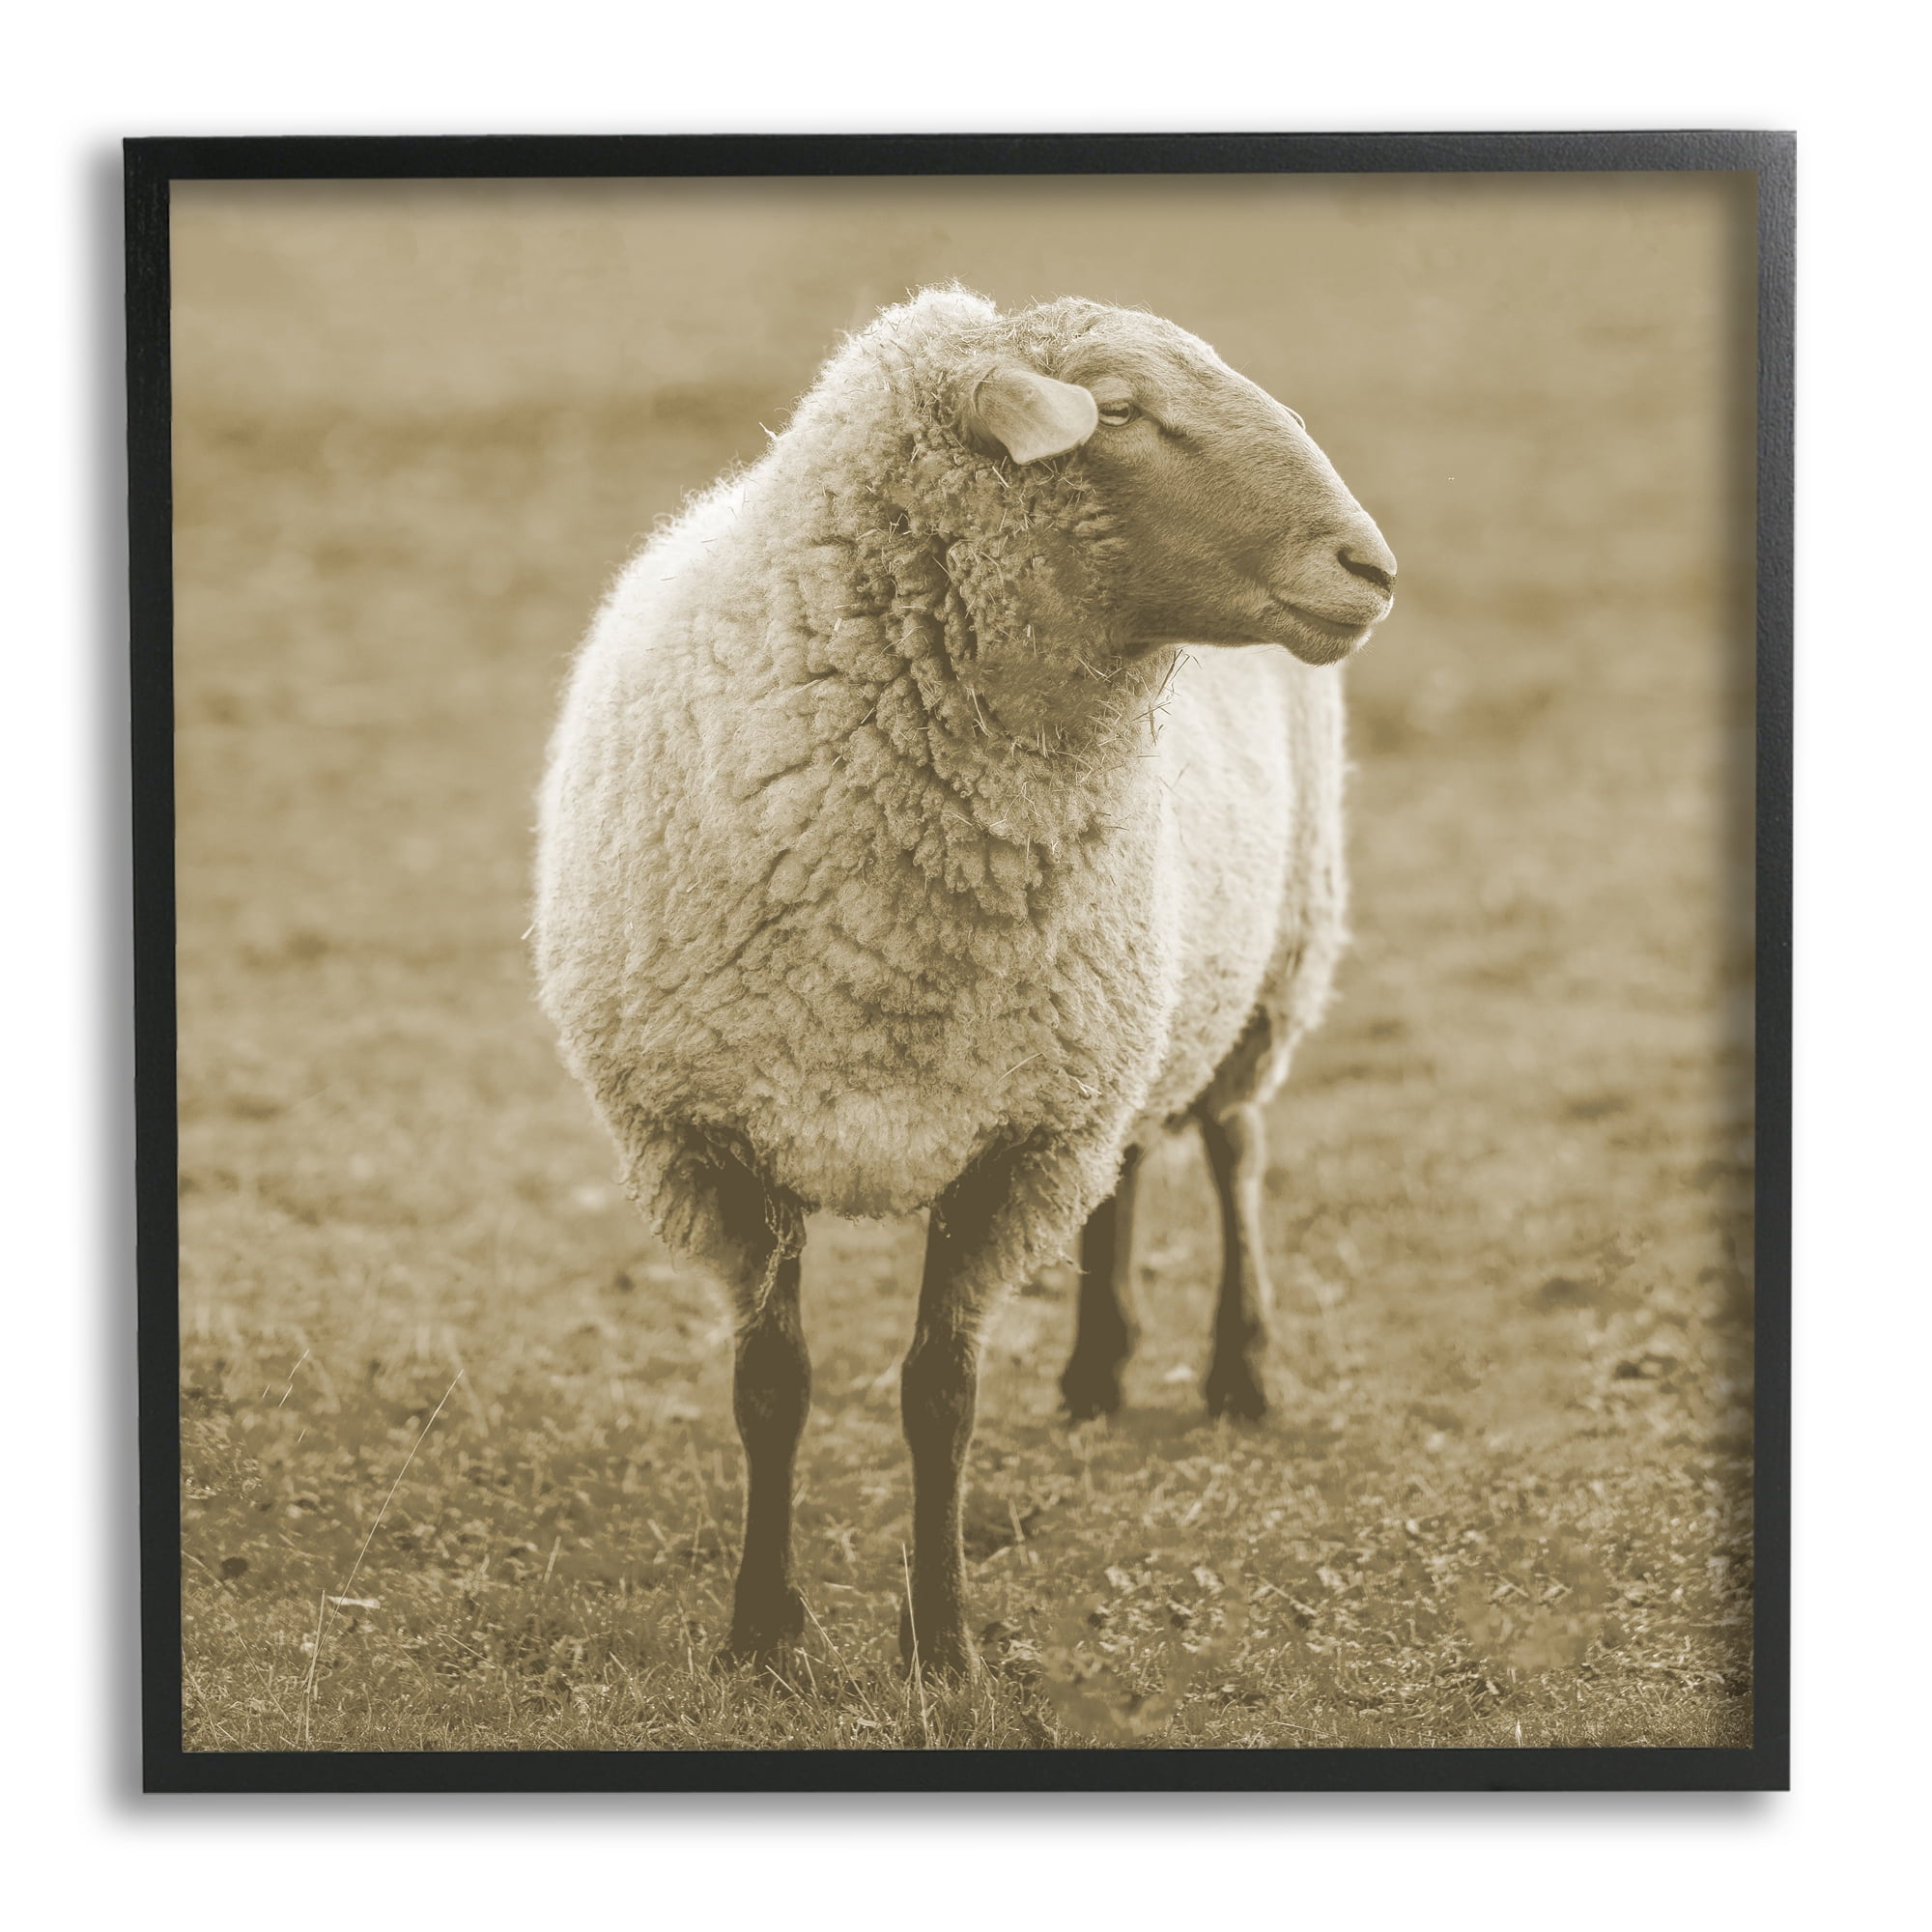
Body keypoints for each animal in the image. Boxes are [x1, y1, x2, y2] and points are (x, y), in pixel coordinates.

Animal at [534, 287, 1396, 1678]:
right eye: (1125, 411)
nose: (1369, 568)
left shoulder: (1014, 1145)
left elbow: (939, 1396)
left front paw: (940, 1641)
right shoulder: (719, 1140)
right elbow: (770, 1388)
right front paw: (760, 1629)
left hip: (1273, 956)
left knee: (1231, 1145)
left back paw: (1239, 1368)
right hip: (1127, 1016)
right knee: (1135, 1158)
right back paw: (1097, 1367)